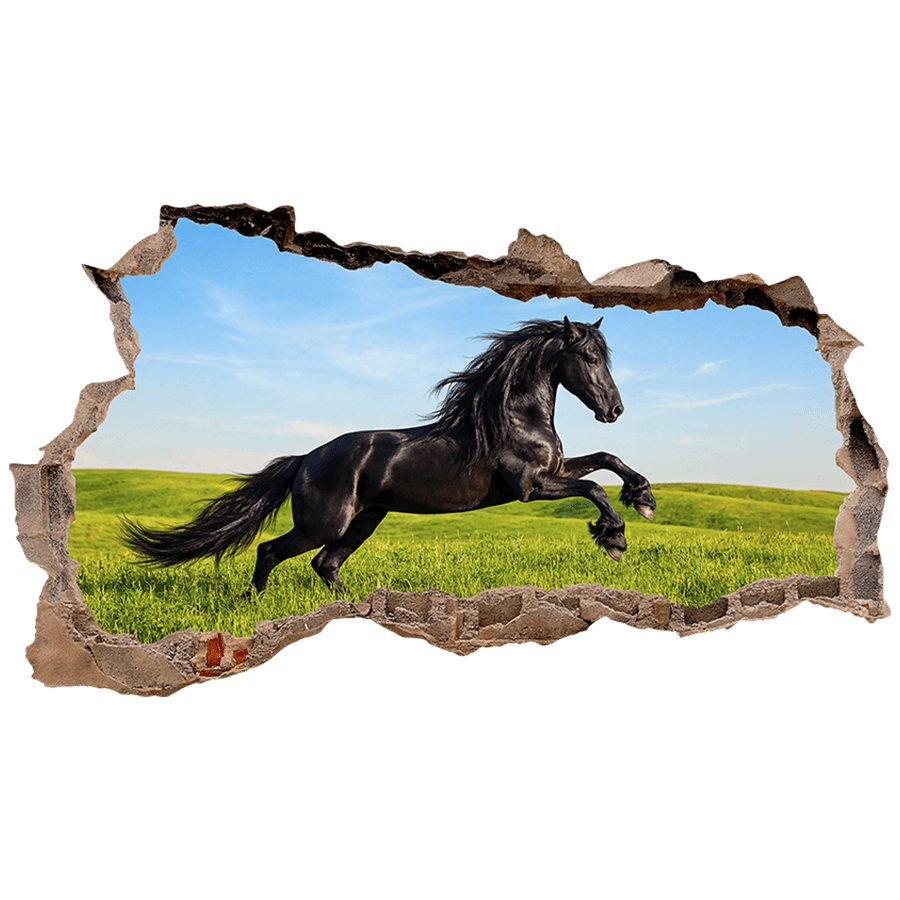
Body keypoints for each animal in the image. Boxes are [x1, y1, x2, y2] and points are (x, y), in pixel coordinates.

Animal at [121, 317, 657, 596]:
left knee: (326, 564)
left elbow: (607, 459)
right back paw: (257, 604)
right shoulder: (529, 487)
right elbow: (593, 485)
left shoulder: (554, 470)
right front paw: (614, 538)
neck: (513, 418)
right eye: (590, 358)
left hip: (364, 519)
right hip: (326, 522)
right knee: (273, 550)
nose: (614, 409)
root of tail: (306, 458)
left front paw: (643, 498)